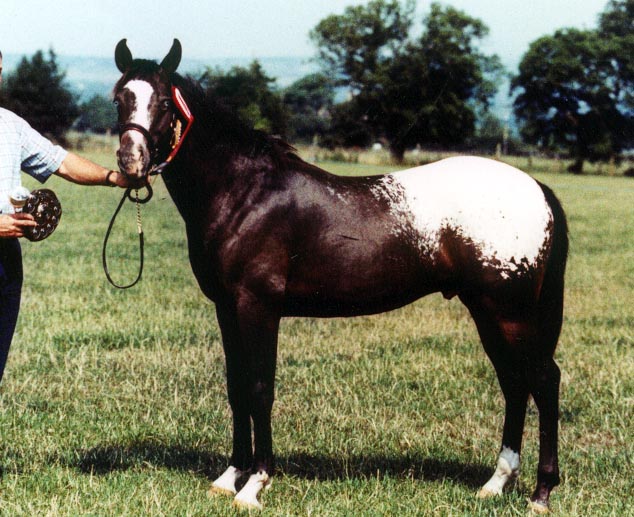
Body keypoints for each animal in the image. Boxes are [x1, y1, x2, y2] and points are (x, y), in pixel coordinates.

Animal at [111, 40, 564, 512]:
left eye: (164, 102)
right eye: (118, 98)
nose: (131, 161)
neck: (245, 191)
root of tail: (537, 188)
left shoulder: (258, 306)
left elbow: (259, 387)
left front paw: (256, 484)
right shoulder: (226, 308)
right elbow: (236, 387)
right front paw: (228, 477)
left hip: (509, 312)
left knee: (544, 381)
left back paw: (541, 494)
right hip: (487, 310)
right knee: (515, 383)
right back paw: (497, 482)